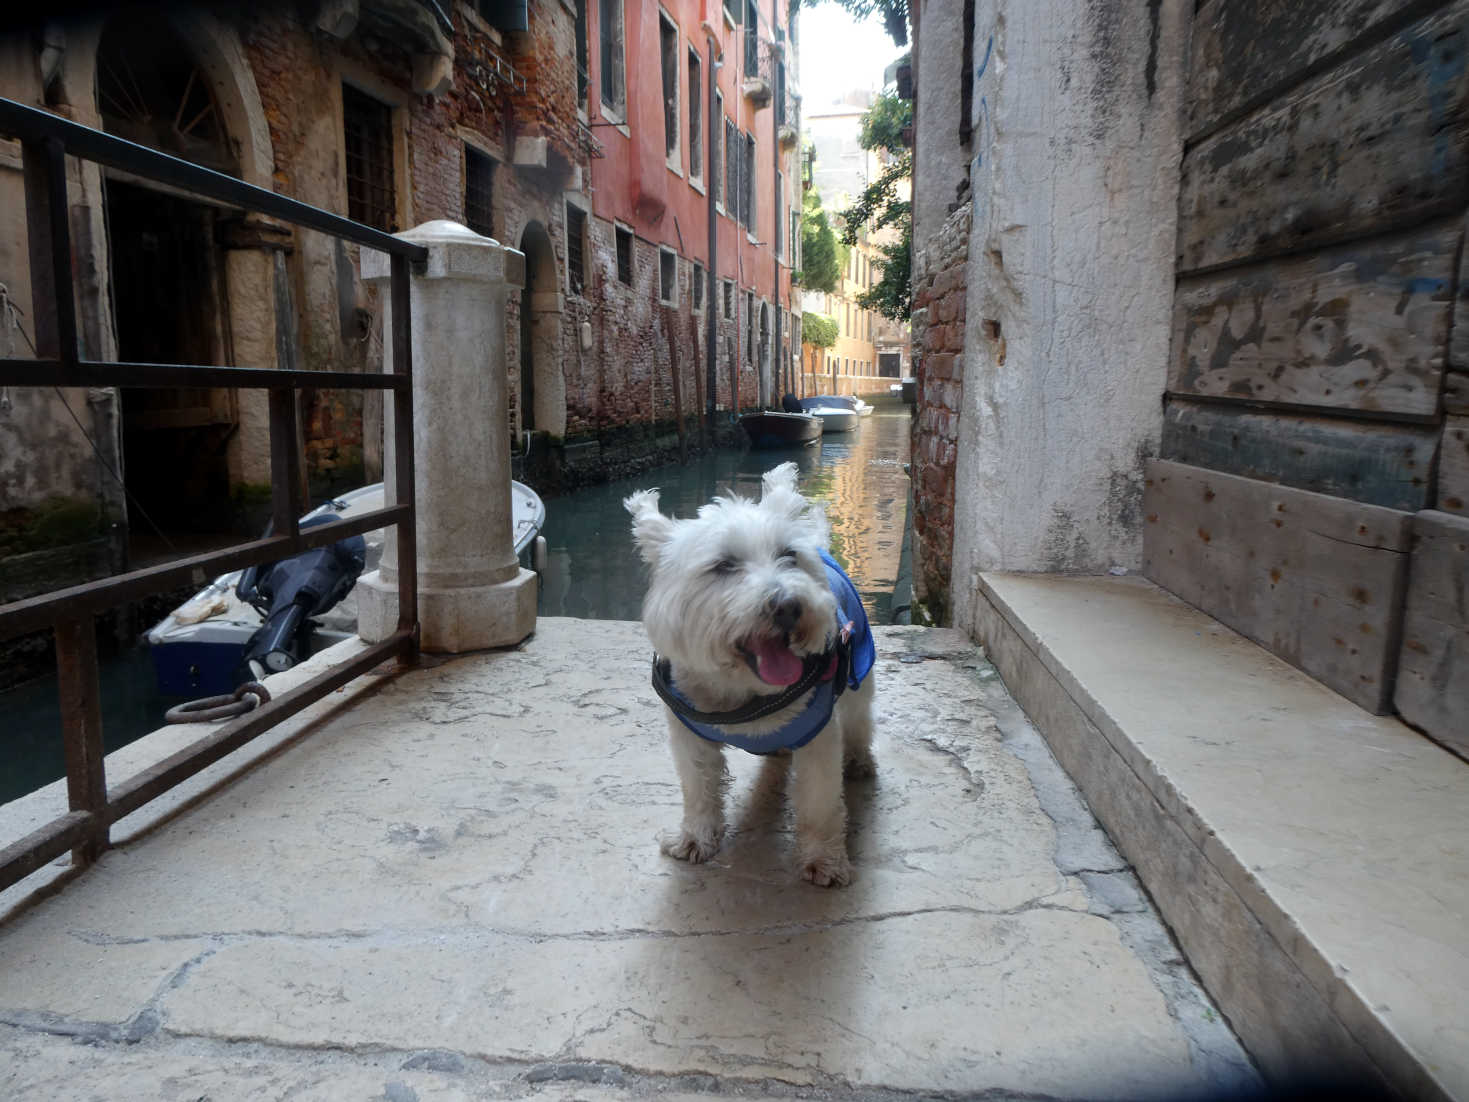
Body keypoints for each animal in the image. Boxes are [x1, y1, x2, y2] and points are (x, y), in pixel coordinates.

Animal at [619, 458, 869, 887]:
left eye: (789, 556)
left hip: (859, 670)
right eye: (724, 565)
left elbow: (819, 801)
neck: (742, 693)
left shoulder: (820, 736)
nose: (789, 605)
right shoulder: (689, 735)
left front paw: (824, 860)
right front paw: (695, 839)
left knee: (860, 717)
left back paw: (859, 762)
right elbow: (699, 788)